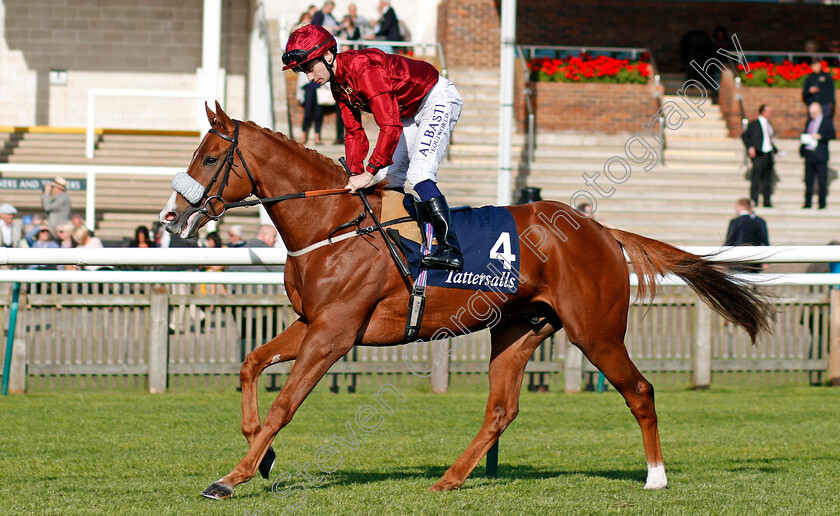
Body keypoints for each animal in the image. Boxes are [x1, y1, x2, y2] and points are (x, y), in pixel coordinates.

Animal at [159, 102, 776, 500]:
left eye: (209, 158)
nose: (170, 216)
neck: (333, 223)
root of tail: (601, 230)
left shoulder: (334, 333)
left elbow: (285, 404)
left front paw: (231, 478)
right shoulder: (314, 322)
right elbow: (250, 364)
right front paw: (261, 457)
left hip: (595, 330)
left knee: (640, 391)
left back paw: (655, 476)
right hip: (518, 328)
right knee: (502, 409)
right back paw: (452, 478)